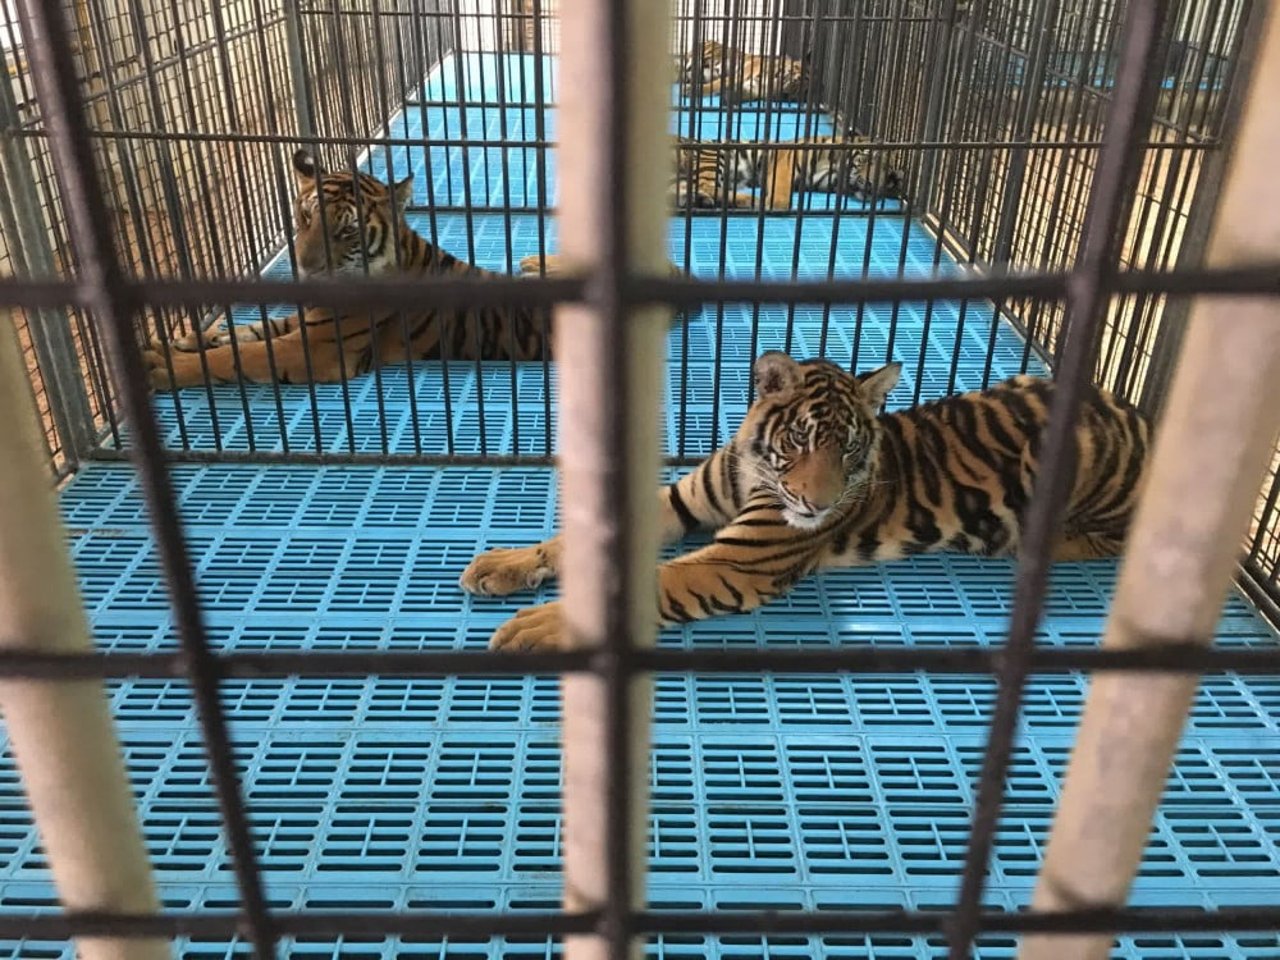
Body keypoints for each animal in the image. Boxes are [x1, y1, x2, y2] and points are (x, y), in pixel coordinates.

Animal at [144, 150, 686, 391]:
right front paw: (180, 340)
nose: (305, 267)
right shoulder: (307, 320)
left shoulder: (320, 349)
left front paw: (163, 367)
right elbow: (249, 332)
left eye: (345, 233)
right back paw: (535, 262)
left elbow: (243, 355)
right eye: (304, 218)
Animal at [460, 353, 1152, 655]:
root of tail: (1139, 413)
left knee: (1115, 538)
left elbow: (652, 582)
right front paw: (502, 565)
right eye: (801, 440)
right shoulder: (681, 502)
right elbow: (572, 541)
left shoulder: (739, 561)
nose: (818, 505)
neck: (758, 471)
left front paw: (537, 628)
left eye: (850, 449)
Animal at [670, 133, 911, 209]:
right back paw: (750, 200)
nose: (870, 185)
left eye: (887, 173)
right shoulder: (786, 159)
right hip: (712, 157)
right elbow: (781, 193)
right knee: (706, 184)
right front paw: (773, 203)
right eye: (868, 158)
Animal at [675, 40, 803, 103]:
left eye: (788, 95)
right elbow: (716, 85)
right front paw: (690, 90)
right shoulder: (738, 76)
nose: (781, 94)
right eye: (794, 70)